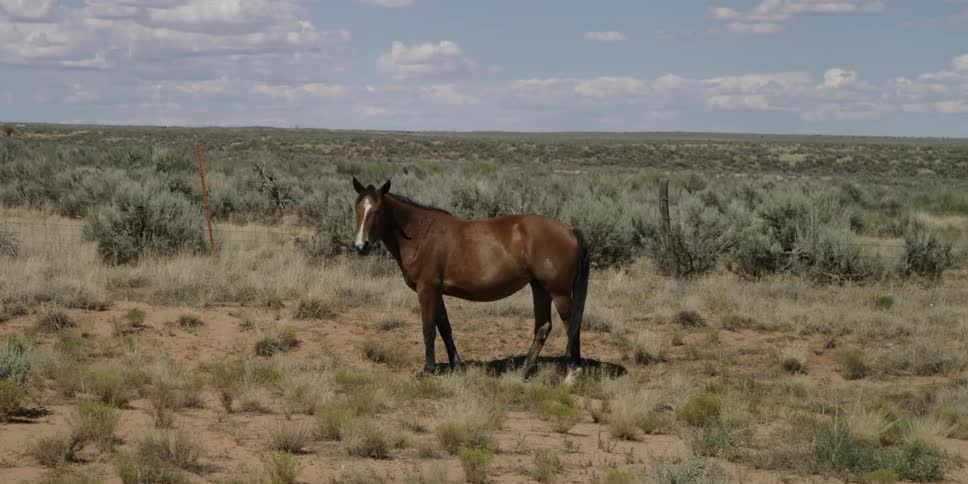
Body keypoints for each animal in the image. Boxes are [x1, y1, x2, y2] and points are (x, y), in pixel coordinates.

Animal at [351, 177, 590, 375]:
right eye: (357, 209)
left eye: (378, 210)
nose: (361, 246)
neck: (421, 234)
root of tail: (570, 229)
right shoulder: (437, 292)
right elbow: (445, 327)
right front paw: (456, 365)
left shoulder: (426, 289)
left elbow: (428, 329)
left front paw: (428, 369)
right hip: (539, 287)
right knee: (543, 326)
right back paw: (523, 371)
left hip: (558, 292)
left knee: (571, 326)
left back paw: (572, 374)